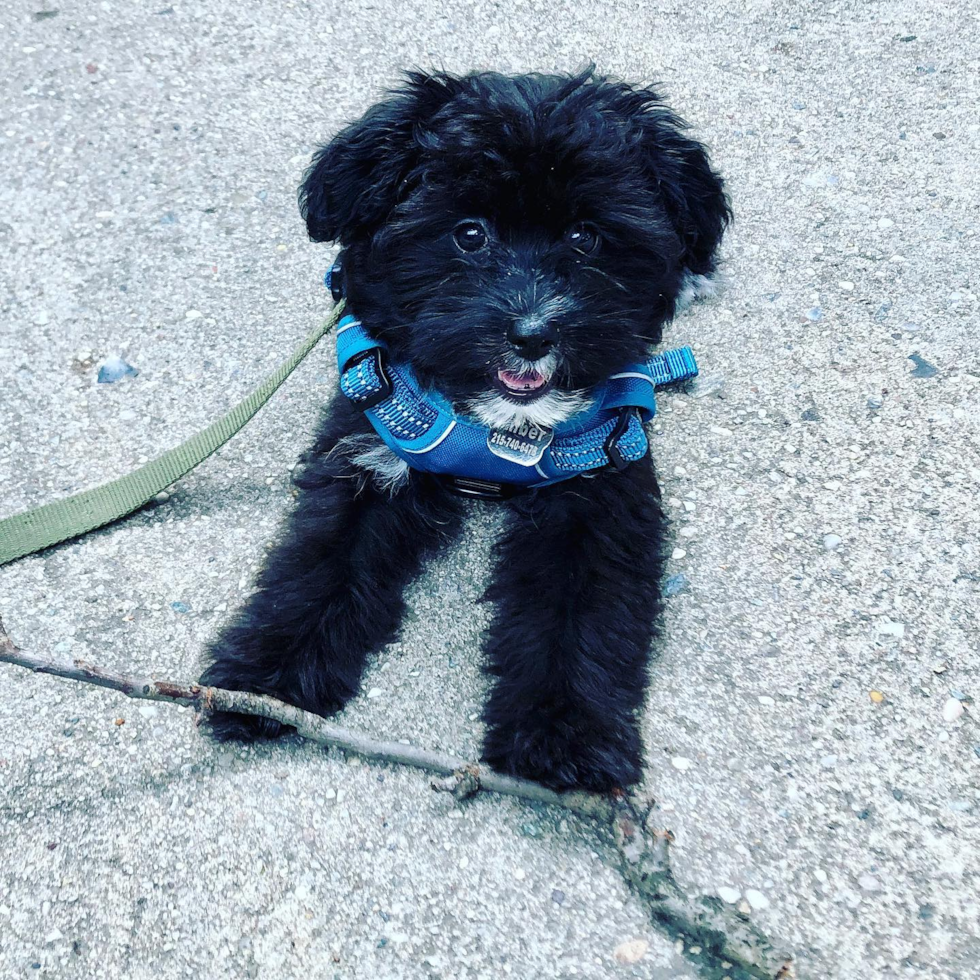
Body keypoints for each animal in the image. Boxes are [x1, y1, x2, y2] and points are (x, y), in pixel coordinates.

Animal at [203, 67, 732, 788]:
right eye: (469, 233)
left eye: (585, 236)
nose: (532, 335)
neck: (498, 431)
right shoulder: (370, 457)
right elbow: (313, 567)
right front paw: (261, 681)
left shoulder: (598, 497)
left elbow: (583, 619)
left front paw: (566, 737)